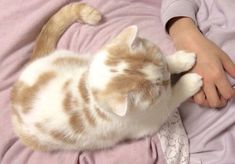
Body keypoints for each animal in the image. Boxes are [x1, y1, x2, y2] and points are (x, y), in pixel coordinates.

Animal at [11, 2, 202, 151]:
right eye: (157, 90)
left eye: (162, 67)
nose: (167, 80)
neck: (87, 90)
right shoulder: (153, 119)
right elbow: (172, 98)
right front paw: (190, 82)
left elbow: (171, 62)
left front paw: (181, 60)